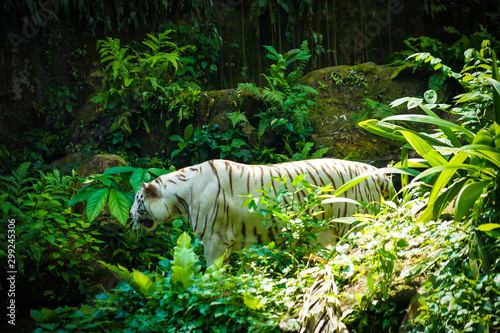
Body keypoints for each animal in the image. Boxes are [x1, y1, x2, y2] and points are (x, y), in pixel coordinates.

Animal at [127, 158, 388, 264]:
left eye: (138, 200)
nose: (128, 217)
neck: (180, 197)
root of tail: (377, 172)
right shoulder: (242, 242)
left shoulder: (214, 240)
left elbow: (212, 272)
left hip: (356, 223)